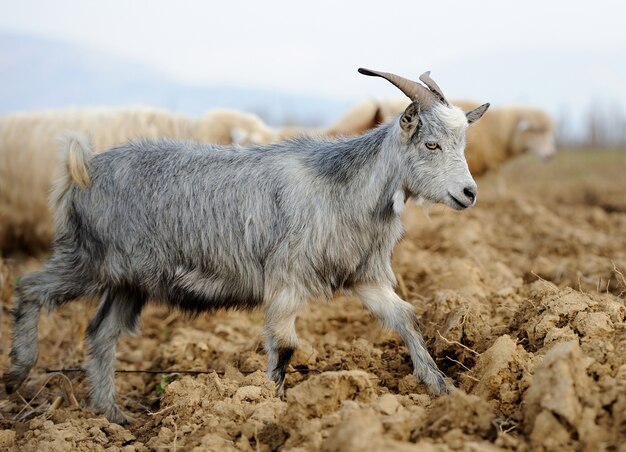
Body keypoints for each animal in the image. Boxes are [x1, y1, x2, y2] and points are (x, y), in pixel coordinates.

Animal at [4, 67, 490, 424]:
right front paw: (270, 408)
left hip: (130, 280)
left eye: (463, 142)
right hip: (87, 258)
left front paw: (442, 387)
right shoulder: (287, 279)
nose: (469, 194)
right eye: (431, 143)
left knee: (101, 333)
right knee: (30, 286)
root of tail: (82, 170)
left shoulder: (364, 277)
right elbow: (285, 344)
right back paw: (18, 371)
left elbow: (406, 316)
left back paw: (112, 413)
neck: (342, 186)